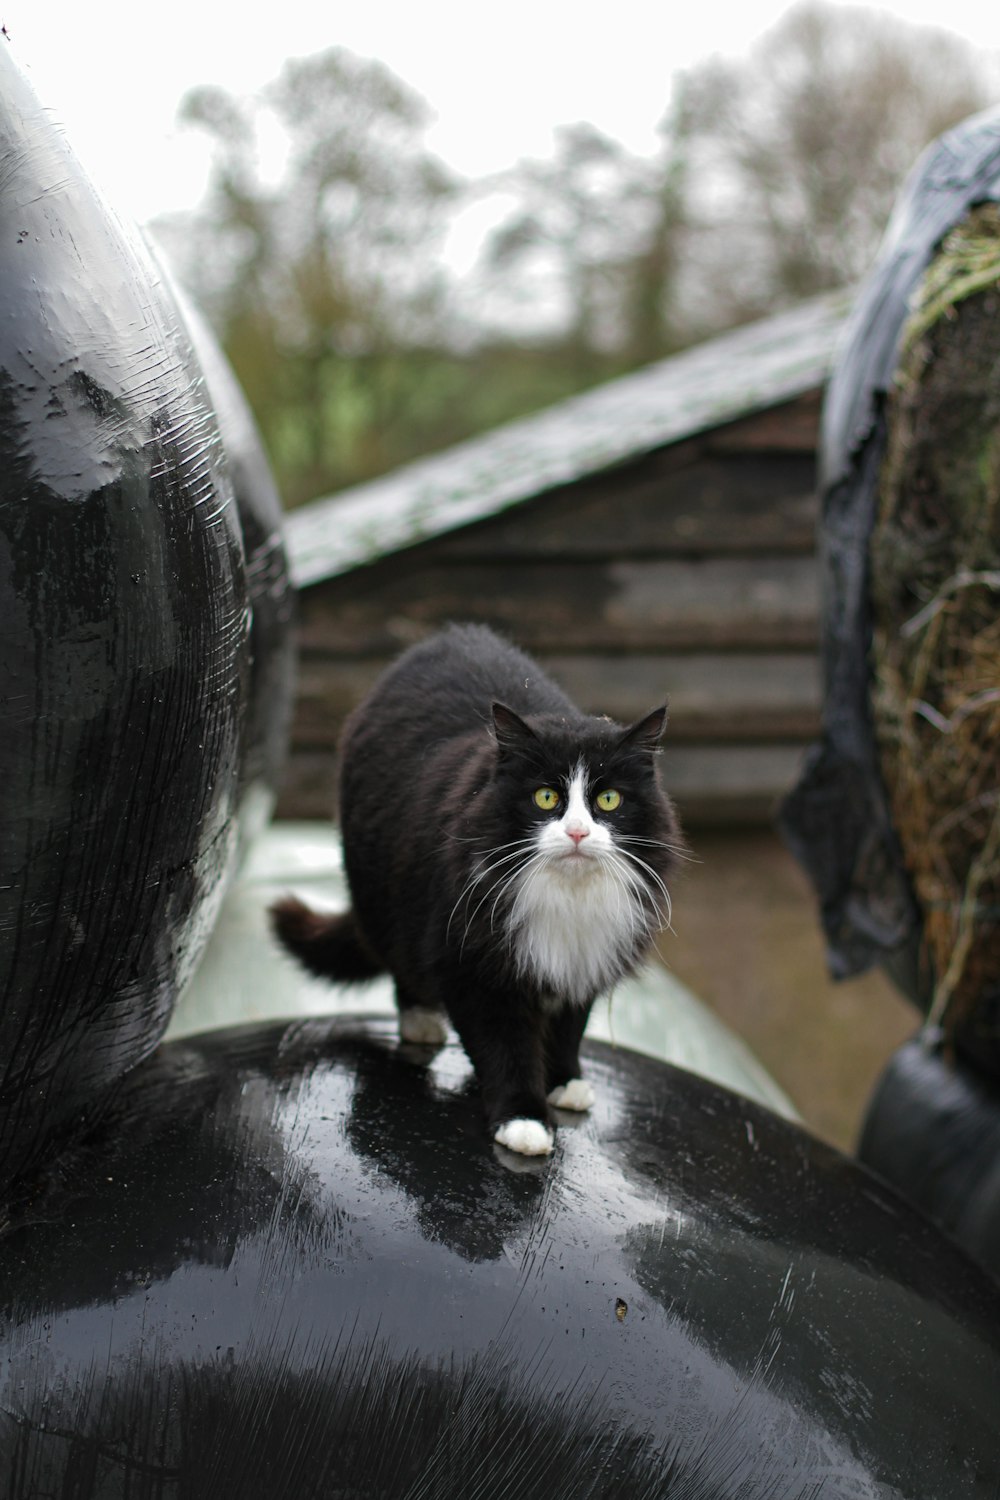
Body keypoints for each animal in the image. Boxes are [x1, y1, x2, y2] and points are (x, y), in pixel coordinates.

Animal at [269, 627, 683, 1152]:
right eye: (545, 797)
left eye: (608, 799)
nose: (576, 833)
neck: (564, 896)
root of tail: (447, 636)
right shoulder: (471, 965)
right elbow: (504, 1046)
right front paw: (523, 1119)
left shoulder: (585, 954)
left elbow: (569, 1026)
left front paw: (565, 1082)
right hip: (386, 898)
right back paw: (421, 1022)